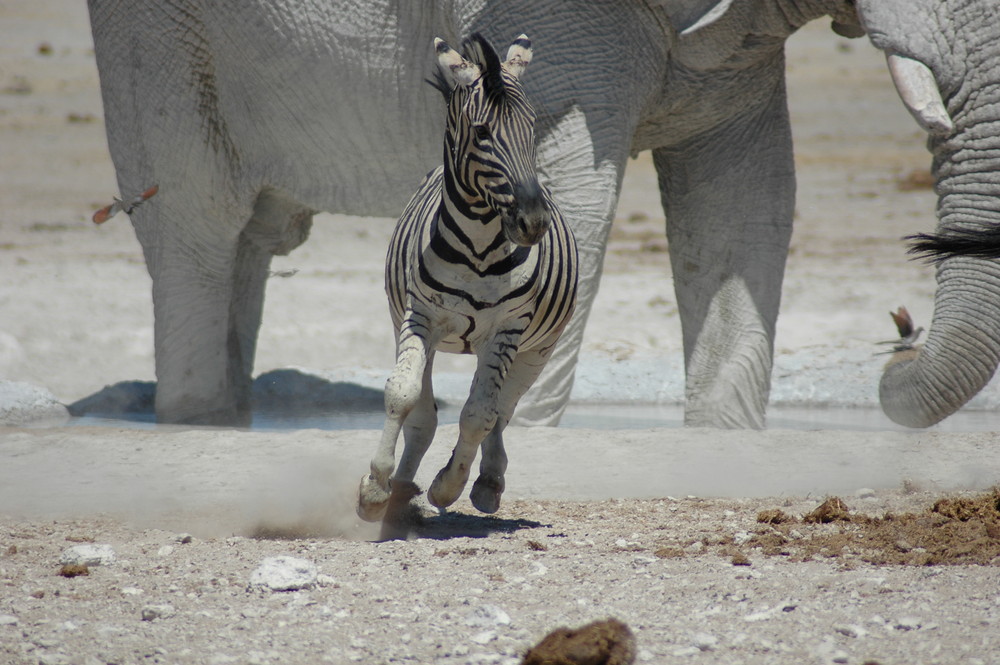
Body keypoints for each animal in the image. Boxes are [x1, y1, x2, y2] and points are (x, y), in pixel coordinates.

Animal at [88, 0, 876, 426]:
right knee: (198, 227)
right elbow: (580, 194)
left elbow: (748, 200)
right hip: (160, 41)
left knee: (249, 244)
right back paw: (195, 421)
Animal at [358, 32, 580, 528]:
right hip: (414, 326)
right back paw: (402, 491)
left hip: (537, 350)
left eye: (532, 128)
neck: (478, 247)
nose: (534, 223)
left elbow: (479, 415)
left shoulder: (509, 330)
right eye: (481, 133)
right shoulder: (419, 316)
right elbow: (401, 395)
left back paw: (487, 483)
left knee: (502, 408)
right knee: (424, 414)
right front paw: (375, 489)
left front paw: (448, 486)